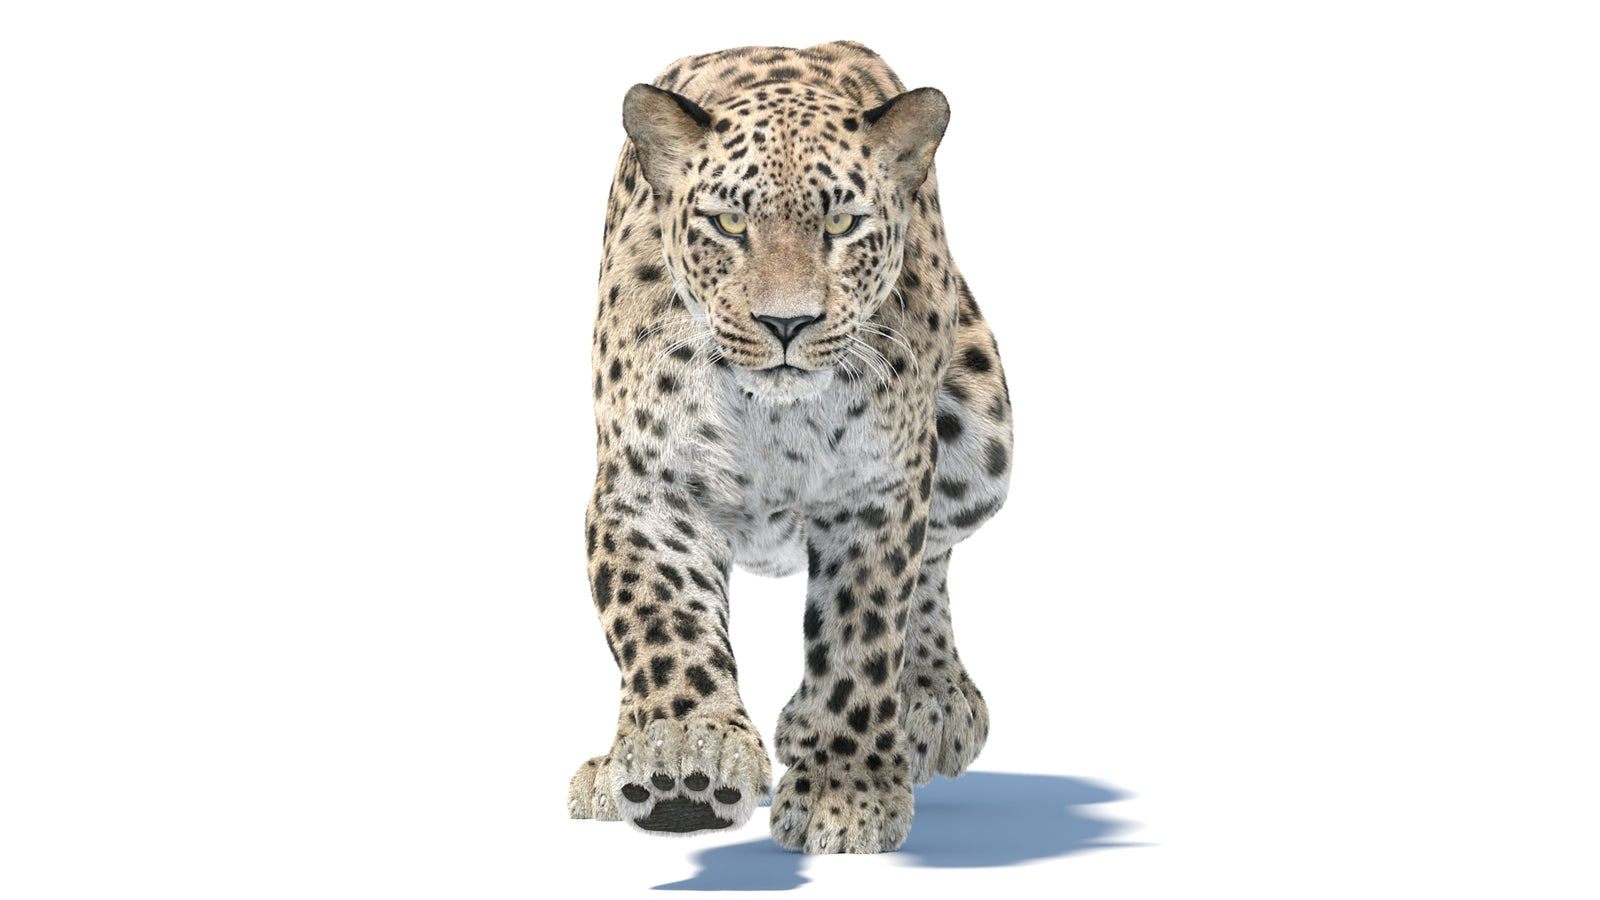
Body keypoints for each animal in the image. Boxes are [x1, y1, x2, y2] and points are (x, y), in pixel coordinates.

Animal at [565, 40, 1013, 854]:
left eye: (841, 223)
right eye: (726, 223)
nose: (786, 323)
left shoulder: (879, 489)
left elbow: (862, 636)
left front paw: (844, 790)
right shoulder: (646, 487)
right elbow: (659, 620)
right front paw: (685, 757)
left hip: (985, 437)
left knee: (935, 556)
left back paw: (930, 700)